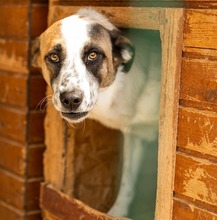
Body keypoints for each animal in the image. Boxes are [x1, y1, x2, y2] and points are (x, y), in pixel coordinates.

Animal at [32, 8, 161, 218]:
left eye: (93, 55)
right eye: (53, 57)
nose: (71, 99)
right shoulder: (135, 135)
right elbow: (127, 180)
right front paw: (116, 213)